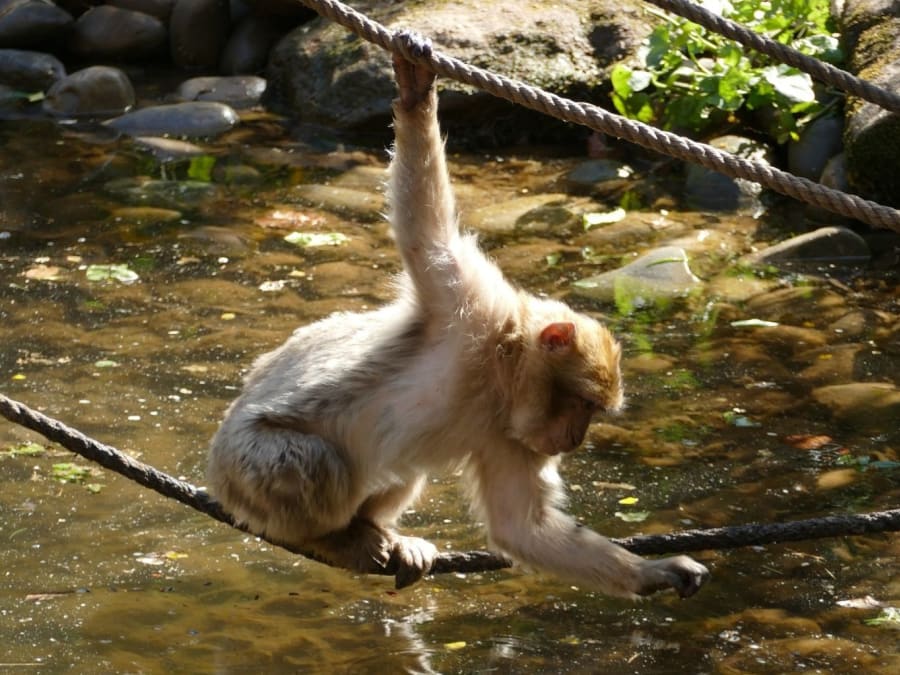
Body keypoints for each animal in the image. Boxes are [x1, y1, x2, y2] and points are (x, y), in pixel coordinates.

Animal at [207, 32, 709, 599]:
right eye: (583, 405)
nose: (576, 440)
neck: (498, 372)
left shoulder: (513, 438)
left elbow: (522, 528)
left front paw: (655, 572)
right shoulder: (470, 300)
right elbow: (426, 236)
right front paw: (415, 92)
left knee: (401, 468)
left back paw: (374, 530)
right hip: (245, 466)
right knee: (316, 463)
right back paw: (333, 538)